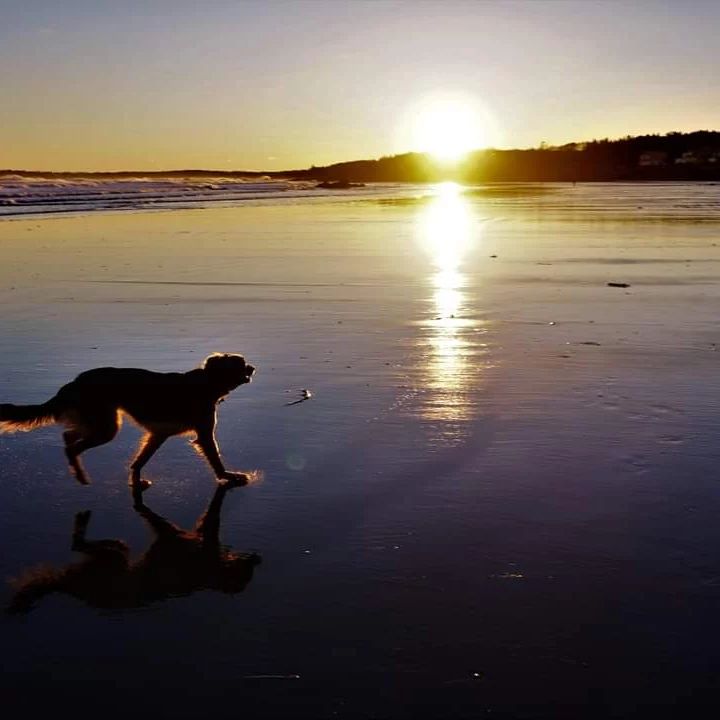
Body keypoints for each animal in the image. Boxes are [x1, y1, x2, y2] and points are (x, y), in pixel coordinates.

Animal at [0, 352, 258, 492]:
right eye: (241, 362)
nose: (253, 367)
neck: (206, 382)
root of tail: (76, 380)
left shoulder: (158, 435)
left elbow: (139, 461)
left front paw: (135, 479)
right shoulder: (203, 433)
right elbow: (215, 459)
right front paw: (228, 476)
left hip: (99, 422)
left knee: (69, 435)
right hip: (106, 427)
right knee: (73, 446)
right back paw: (80, 474)